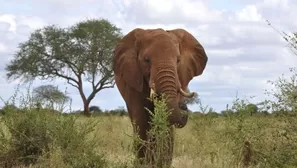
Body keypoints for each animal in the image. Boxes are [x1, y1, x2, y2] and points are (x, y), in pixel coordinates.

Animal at [112, 28, 207, 166]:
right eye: (146, 60)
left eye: (178, 60)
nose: (183, 106)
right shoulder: (133, 80)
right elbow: (142, 119)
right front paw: (144, 164)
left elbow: (167, 122)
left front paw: (161, 164)